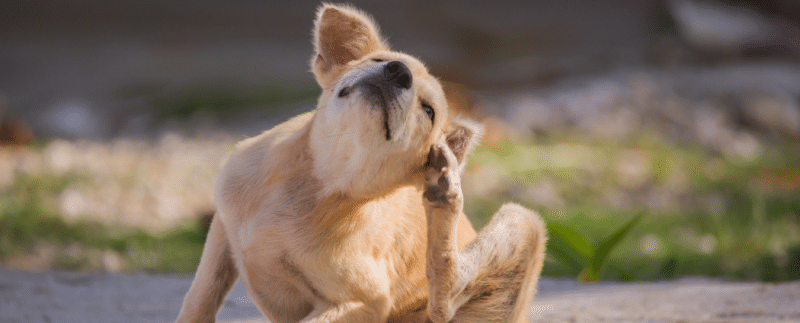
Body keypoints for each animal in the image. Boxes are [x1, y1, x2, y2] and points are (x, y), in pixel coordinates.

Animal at [177, 3, 548, 322]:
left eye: (428, 111)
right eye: (379, 59)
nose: (398, 72)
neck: (320, 181)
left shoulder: (361, 303)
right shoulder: (223, 229)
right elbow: (200, 298)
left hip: (524, 221)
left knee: (444, 302)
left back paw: (444, 194)